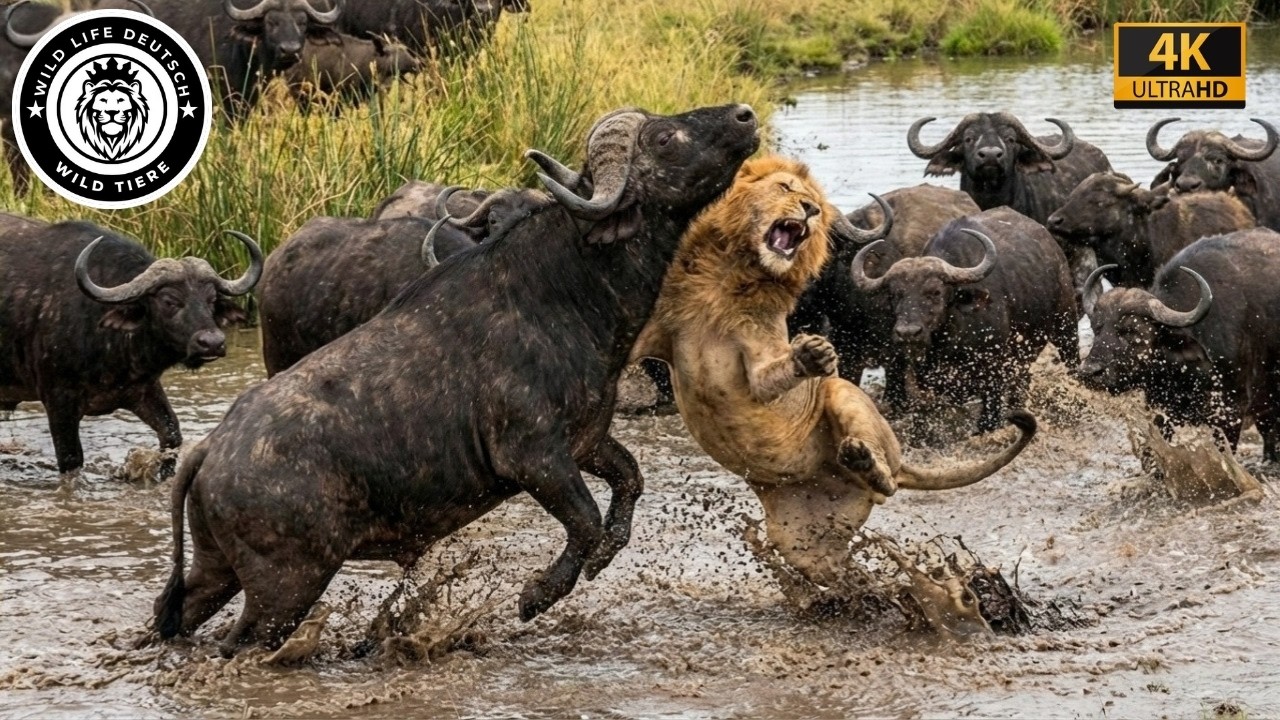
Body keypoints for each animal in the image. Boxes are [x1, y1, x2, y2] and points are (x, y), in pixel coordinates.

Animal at [631, 155, 1038, 585]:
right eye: (784, 189)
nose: (808, 210)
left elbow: (768, 377)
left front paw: (811, 355)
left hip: (845, 398)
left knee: (887, 481)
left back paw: (862, 459)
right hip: (802, 537)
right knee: (834, 564)